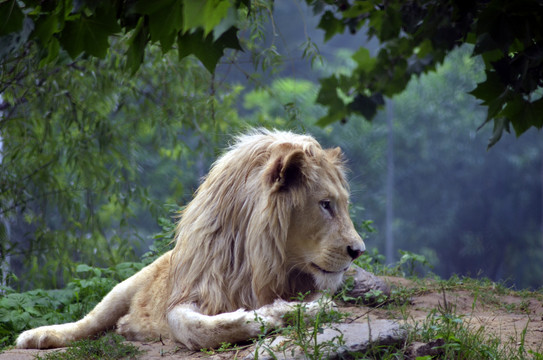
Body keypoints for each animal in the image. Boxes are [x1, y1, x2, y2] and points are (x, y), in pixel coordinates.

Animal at [15, 130, 366, 352]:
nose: (358, 251)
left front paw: (287, 310)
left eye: (344, 204)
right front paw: (259, 317)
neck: (255, 258)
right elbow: (190, 325)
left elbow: (317, 304)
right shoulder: (191, 288)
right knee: (88, 323)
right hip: (125, 285)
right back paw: (35, 336)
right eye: (325, 204)